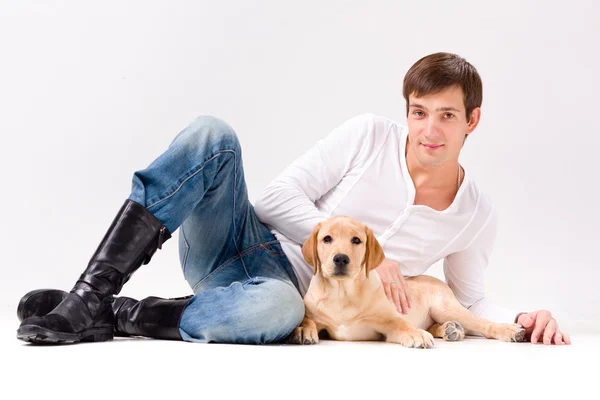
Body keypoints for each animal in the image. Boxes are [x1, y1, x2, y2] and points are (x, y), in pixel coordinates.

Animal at [288, 214, 528, 348]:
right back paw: (450, 330)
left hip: (446, 308)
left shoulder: (387, 324)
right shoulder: (317, 317)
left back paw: (509, 330)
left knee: (483, 324)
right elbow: (307, 319)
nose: (340, 258)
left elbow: (401, 324)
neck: (342, 292)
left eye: (356, 240)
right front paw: (301, 330)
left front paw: (415, 334)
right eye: (326, 239)